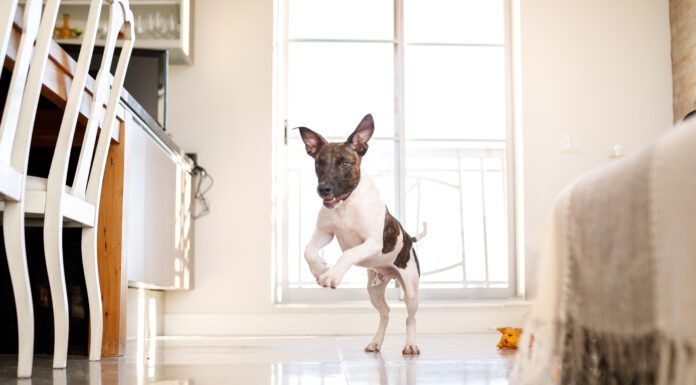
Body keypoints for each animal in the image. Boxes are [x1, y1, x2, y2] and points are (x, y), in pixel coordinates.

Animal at [294, 112, 424, 352]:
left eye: (344, 162)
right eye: (319, 163)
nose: (323, 189)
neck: (346, 203)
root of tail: (410, 239)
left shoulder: (372, 242)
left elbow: (349, 253)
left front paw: (332, 275)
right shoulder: (324, 232)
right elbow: (308, 250)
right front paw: (319, 269)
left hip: (411, 289)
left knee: (410, 317)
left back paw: (410, 345)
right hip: (374, 290)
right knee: (385, 313)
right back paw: (375, 342)